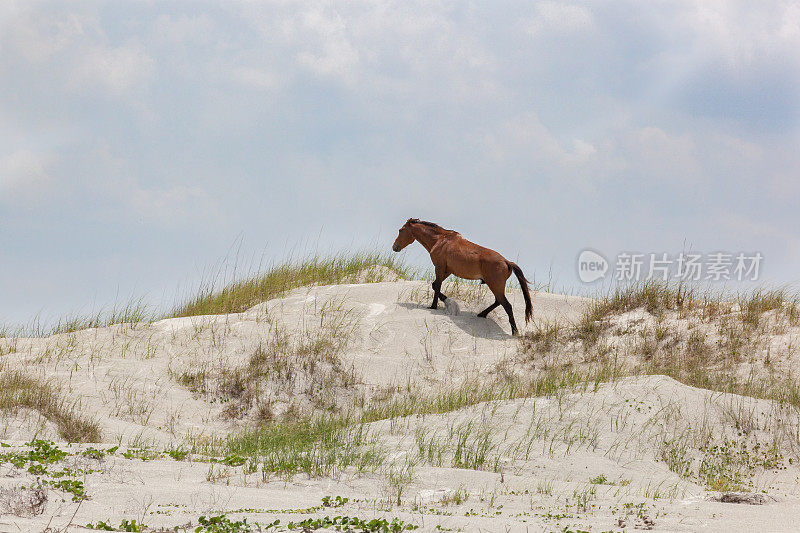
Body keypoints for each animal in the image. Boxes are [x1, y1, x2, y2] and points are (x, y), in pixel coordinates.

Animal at [392, 216, 536, 332]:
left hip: (495, 285)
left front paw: (434, 306)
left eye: (400, 230)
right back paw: (482, 314)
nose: (395, 247)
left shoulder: (439, 267)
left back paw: (514, 332)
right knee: (498, 302)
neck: (440, 240)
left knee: (507, 306)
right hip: (496, 286)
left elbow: (437, 286)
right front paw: (449, 302)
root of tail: (507, 262)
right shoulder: (447, 270)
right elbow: (435, 285)